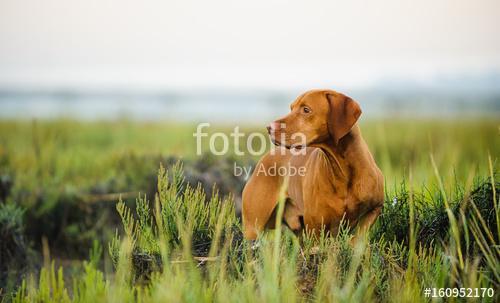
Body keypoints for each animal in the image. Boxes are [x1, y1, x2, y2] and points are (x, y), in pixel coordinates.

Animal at [241, 89, 382, 241]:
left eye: (306, 110)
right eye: (291, 108)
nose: (269, 127)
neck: (343, 171)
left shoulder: (373, 210)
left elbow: (357, 240)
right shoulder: (316, 228)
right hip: (252, 229)